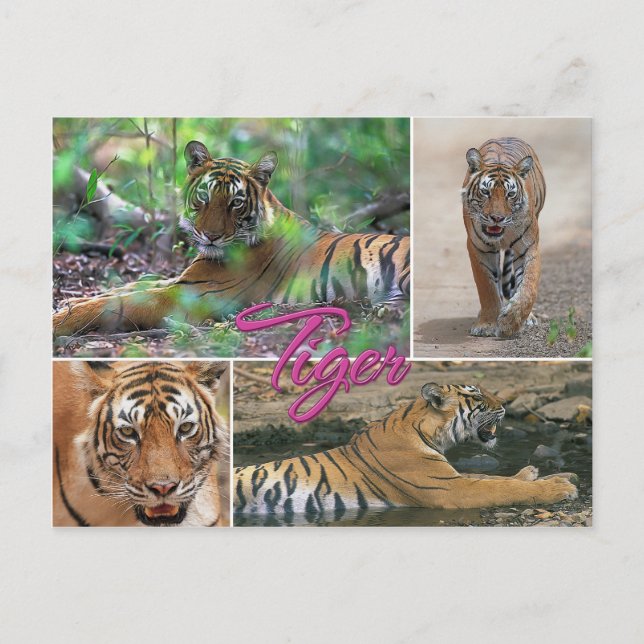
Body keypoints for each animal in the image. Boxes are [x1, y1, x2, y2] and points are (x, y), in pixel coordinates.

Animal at [52, 141, 410, 338]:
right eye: (204, 197)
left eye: (236, 202)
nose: (211, 236)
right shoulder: (181, 280)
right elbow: (129, 286)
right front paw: (71, 301)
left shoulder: (192, 293)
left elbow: (119, 303)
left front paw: (61, 320)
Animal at [233, 383, 577, 516]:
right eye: (478, 396)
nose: (505, 404)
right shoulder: (451, 489)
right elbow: (500, 488)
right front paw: (559, 488)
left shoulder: (451, 477)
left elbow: (497, 478)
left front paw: (548, 474)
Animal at [462, 137, 546, 338]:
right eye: (486, 192)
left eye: (510, 194)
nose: (497, 218)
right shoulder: (479, 248)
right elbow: (487, 287)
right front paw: (487, 324)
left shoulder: (529, 247)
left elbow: (528, 287)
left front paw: (511, 322)